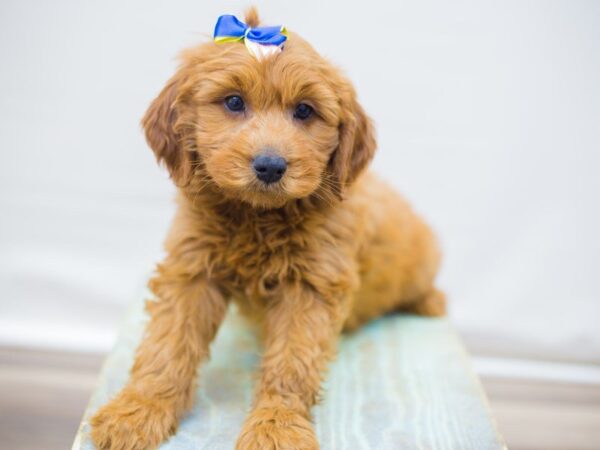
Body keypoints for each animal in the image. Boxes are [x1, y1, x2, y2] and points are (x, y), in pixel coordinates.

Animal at [90, 7, 446, 450]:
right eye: (233, 102)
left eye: (305, 111)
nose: (271, 166)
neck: (257, 216)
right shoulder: (192, 268)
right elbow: (167, 341)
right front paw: (139, 408)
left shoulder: (311, 285)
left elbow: (292, 362)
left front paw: (277, 426)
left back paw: (430, 301)